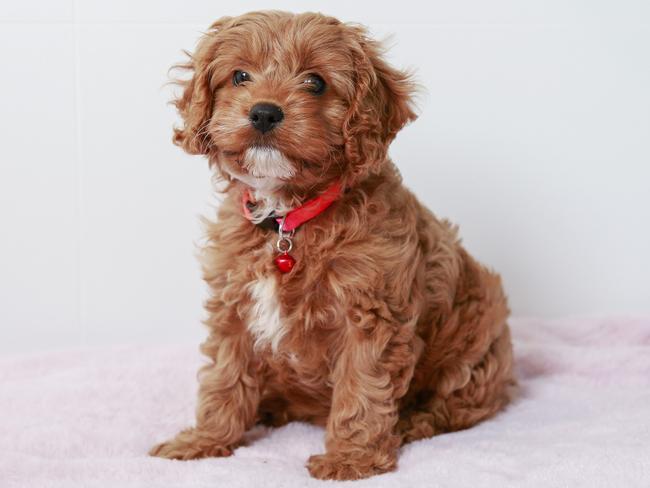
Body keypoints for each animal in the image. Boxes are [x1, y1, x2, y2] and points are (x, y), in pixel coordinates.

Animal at [149, 10, 512, 480]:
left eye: (316, 82)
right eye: (240, 76)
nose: (264, 112)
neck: (287, 220)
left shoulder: (371, 313)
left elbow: (362, 386)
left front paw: (350, 458)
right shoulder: (234, 304)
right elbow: (224, 377)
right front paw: (203, 440)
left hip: (481, 342)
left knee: (458, 407)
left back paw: (412, 423)